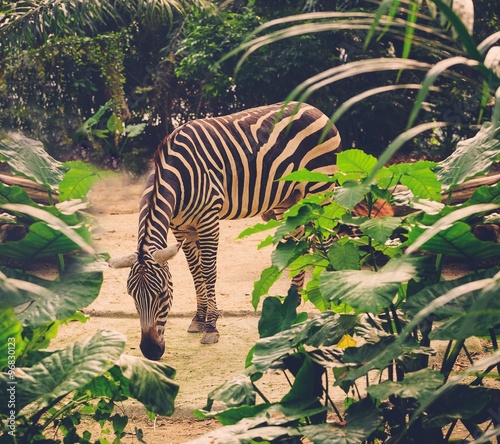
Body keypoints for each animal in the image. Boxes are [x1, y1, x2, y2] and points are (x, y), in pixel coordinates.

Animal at [108, 103, 344, 360]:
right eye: (131, 295)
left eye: (162, 294)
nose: (150, 352)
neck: (177, 177)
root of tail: (314, 108)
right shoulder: (181, 228)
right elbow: (195, 272)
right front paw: (199, 318)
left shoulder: (209, 220)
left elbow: (208, 271)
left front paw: (211, 327)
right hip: (289, 200)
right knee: (297, 241)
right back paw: (293, 301)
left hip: (320, 189)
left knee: (327, 239)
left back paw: (334, 297)